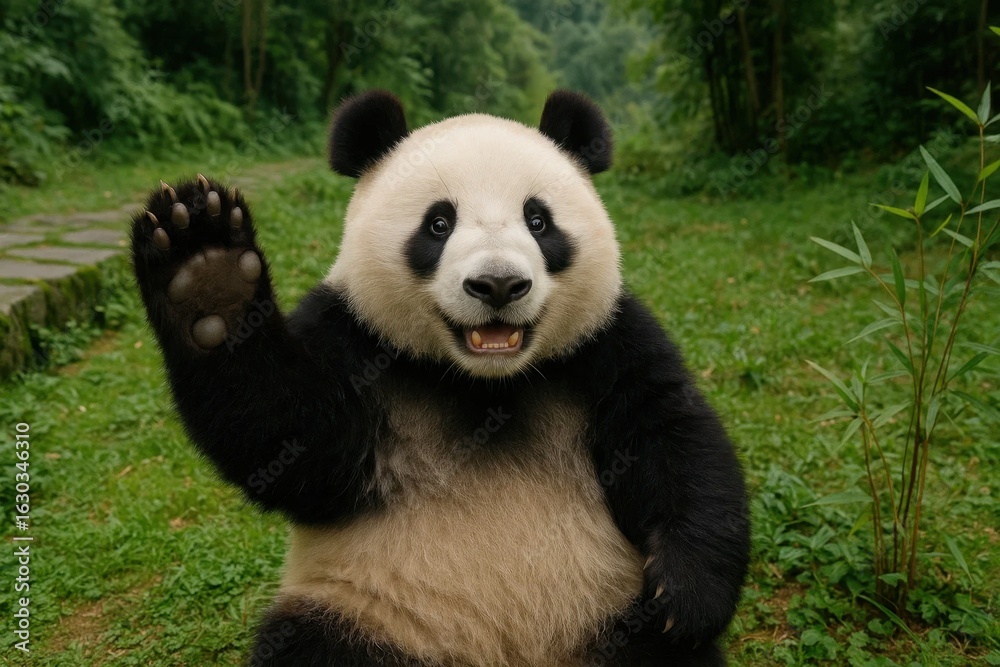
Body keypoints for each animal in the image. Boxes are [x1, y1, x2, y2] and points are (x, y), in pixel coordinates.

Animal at [130, 90, 750, 667]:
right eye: (438, 223)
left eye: (538, 220)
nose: (498, 285)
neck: (486, 383)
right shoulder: (355, 340)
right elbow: (284, 436)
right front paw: (207, 268)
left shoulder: (607, 342)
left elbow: (673, 440)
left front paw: (683, 598)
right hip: (364, 614)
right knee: (310, 646)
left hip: (606, 613)